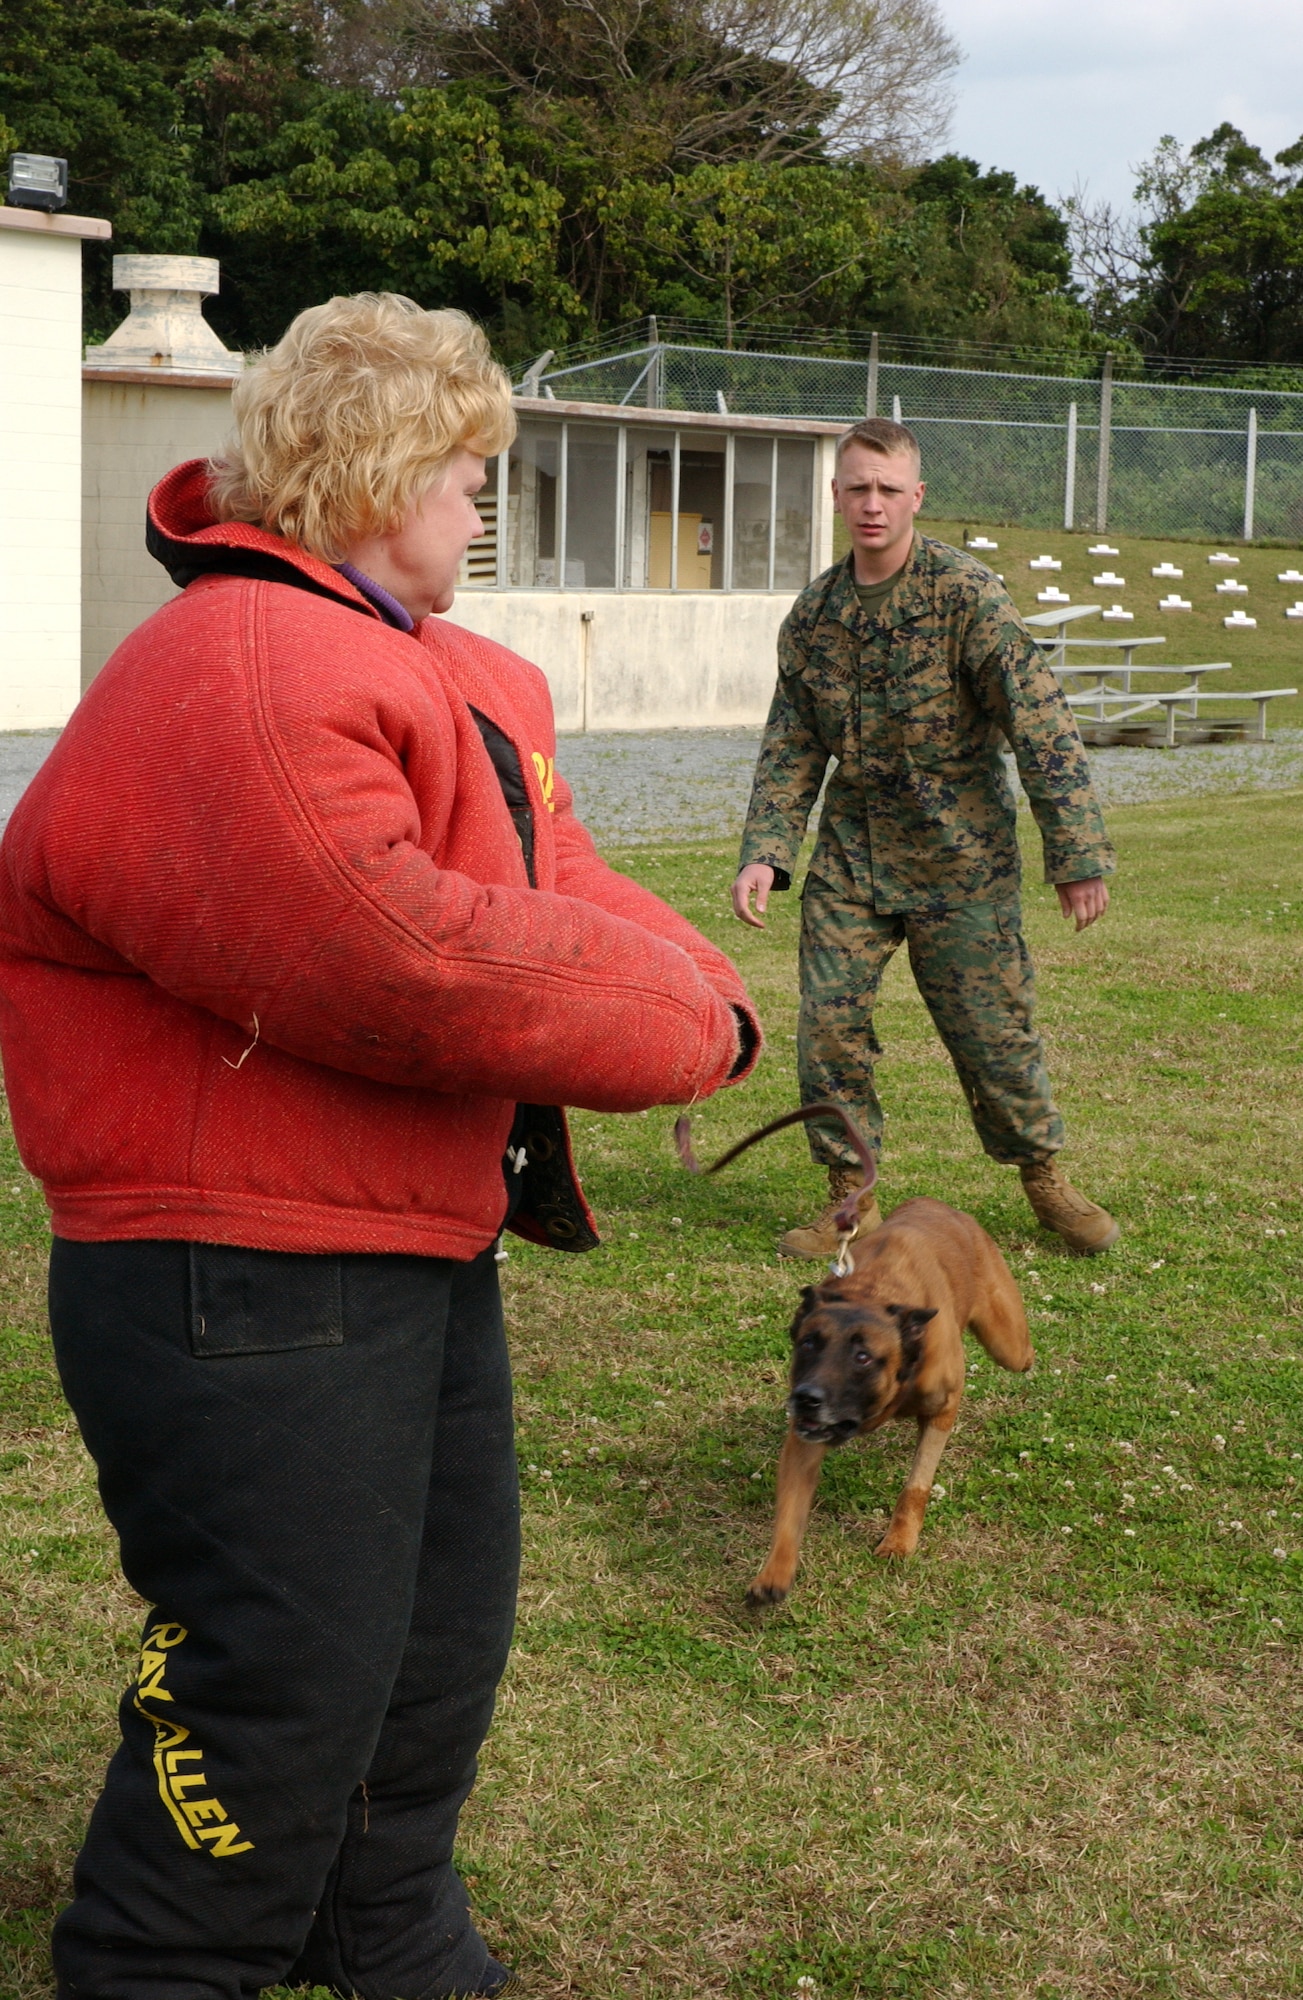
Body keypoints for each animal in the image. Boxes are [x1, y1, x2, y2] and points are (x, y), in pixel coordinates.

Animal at [747, 1192, 1031, 1600]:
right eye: (808, 1344)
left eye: (863, 1357)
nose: (806, 1398)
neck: (872, 1294)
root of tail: (935, 1202)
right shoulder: (805, 1439)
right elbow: (789, 1513)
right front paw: (775, 1572)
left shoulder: (942, 1410)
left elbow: (916, 1486)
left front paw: (899, 1541)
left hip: (1010, 1346)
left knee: (1023, 1353)